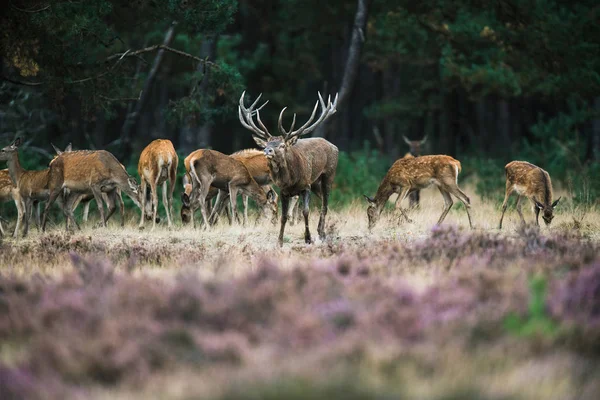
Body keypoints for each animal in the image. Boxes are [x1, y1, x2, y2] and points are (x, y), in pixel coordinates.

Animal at [240, 91, 342, 247]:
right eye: (267, 144)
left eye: (282, 145)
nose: (267, 151)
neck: (291, 180)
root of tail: (334, 146)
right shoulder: (284, 191)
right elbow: (283, 216)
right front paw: (279, 242)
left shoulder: (305, 186)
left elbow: (305, 211)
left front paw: (308, 238)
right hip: (315, 183)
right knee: (325, 203)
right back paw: (320, 231)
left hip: (329, 175)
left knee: (325, 203)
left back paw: (322, 234)